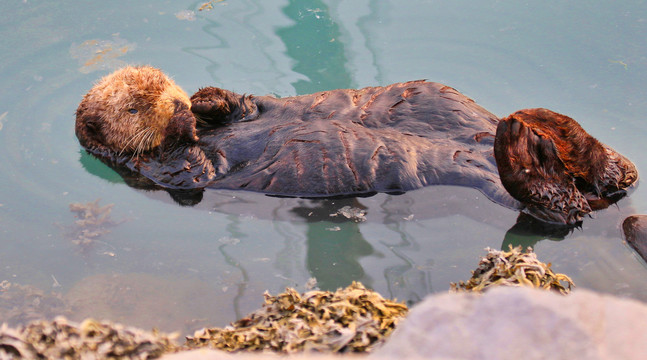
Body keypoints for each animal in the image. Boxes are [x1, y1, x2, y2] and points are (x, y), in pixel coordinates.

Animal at [74, 65, 636, 224]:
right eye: (134, 107)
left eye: (167, 84)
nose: (176, 104)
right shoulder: (158, 170)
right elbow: (193, 169)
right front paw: (183, 126)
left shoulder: (248, 108)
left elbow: (245, 106)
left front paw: (205, 99)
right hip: (499, 187)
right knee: (558, 203)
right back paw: (529, 140)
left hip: (446, 102)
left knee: (619, 174)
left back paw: (550, 126)